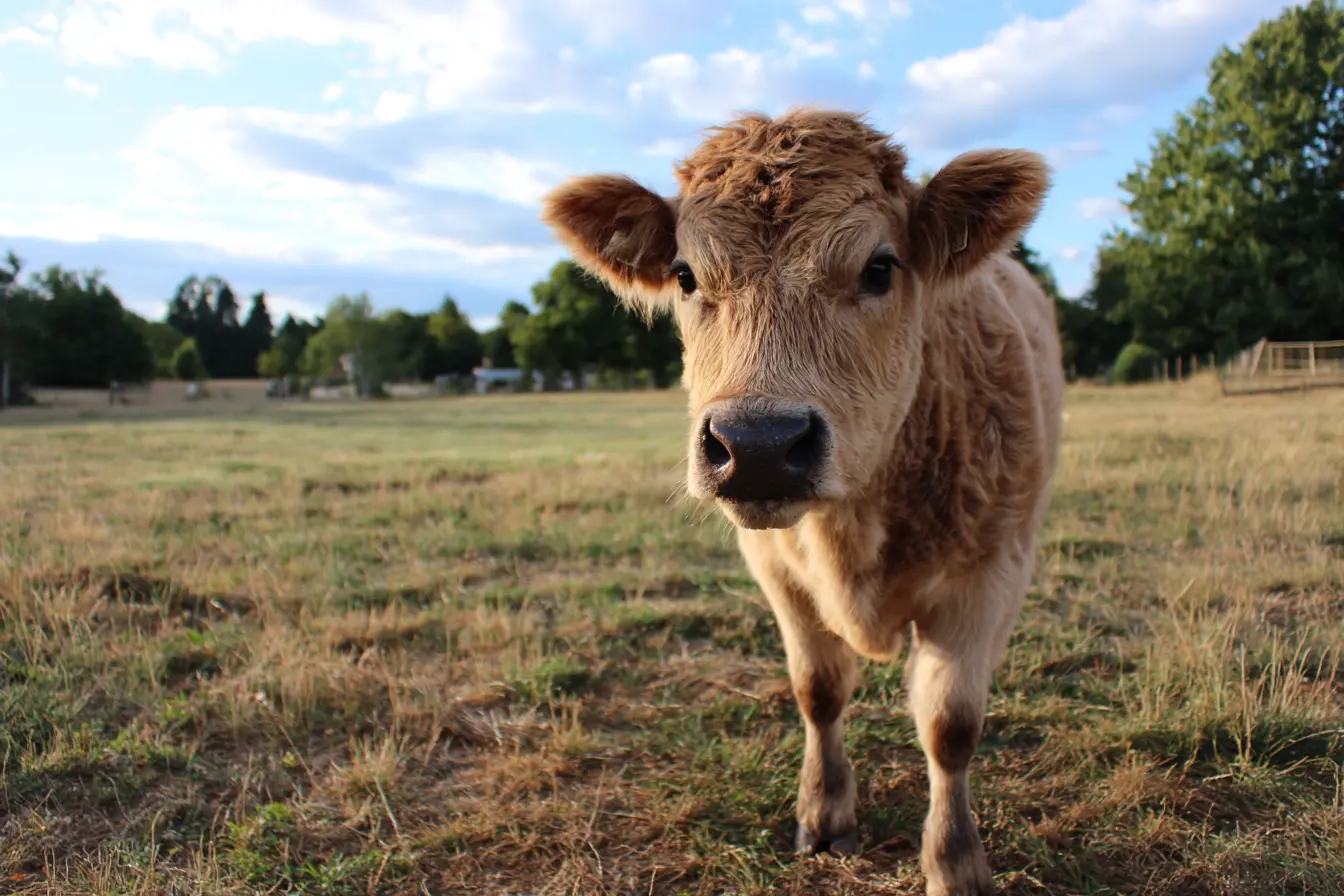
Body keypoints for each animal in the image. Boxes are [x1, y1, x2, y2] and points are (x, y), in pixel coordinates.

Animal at [539, 107, 1064, 896]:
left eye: (880, 266)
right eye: (685, 274)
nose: (757, 443)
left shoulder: (991, 571)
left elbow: (949, 724)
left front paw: (956, 863)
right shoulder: (776, 570)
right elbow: (818, 690)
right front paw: (823, 812)